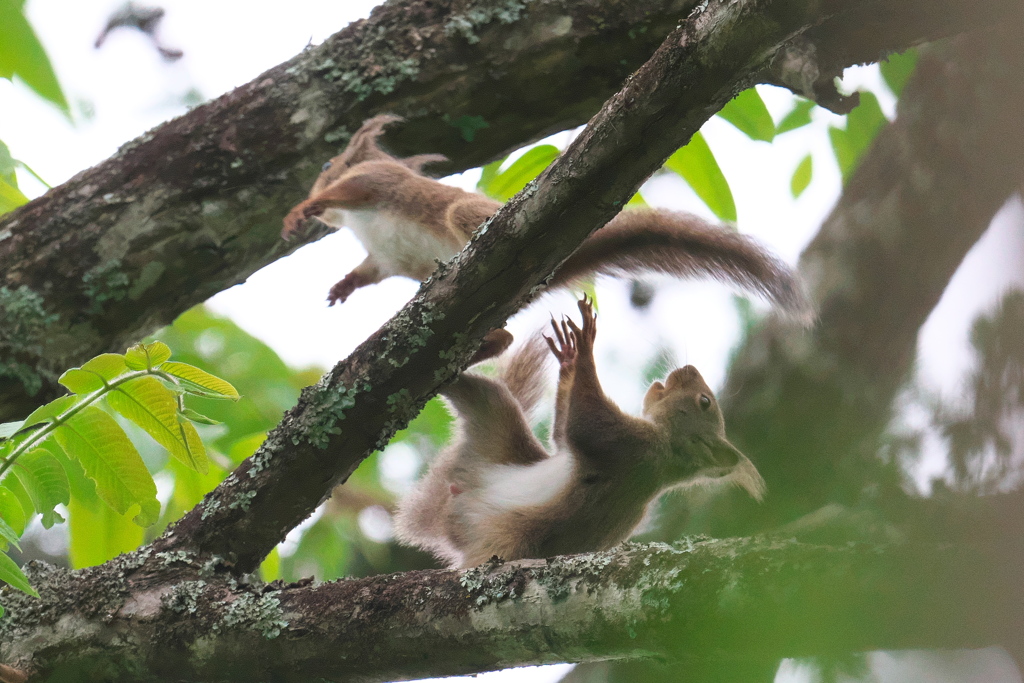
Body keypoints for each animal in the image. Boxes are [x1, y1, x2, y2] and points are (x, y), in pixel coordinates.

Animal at [284, 114, 811, 321]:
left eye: (327, 164)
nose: (310, 194)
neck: (356, 223)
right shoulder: (382, 258)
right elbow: (369, 271)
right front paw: (342, 287)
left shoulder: (376, 182)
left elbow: (352, 189)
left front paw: (302, 209)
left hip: (465, 216)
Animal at [395, 296, 765, 569]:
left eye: (705, 401)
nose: (689, 368)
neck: (668, 454)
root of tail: (455, 508)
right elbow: (562, 436)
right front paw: (570, 358)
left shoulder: (628, 446)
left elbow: (584, 422)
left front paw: (585, 346)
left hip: (499, 530)